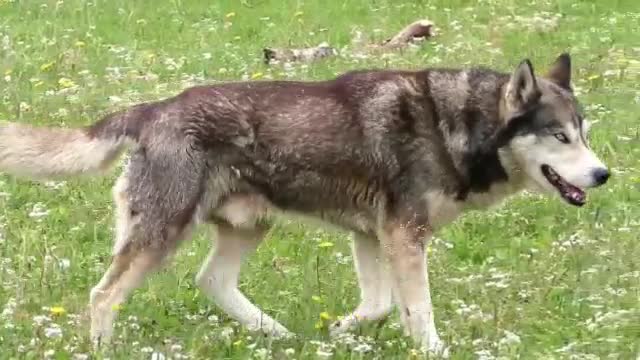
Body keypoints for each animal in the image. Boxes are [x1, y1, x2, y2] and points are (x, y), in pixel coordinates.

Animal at [0, 54, 608, 354]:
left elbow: (379, 305)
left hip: (247, 225)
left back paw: (274, 333)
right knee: (103, 297)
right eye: (559, 137)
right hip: (162, 232)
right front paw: (432, 349)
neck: (454, 125)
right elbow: (419, 311)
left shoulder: (373, 236)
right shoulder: (403, 237)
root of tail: (154, 110)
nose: (603, 174)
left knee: (211, 281)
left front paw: (340, 333)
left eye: (584, 133)